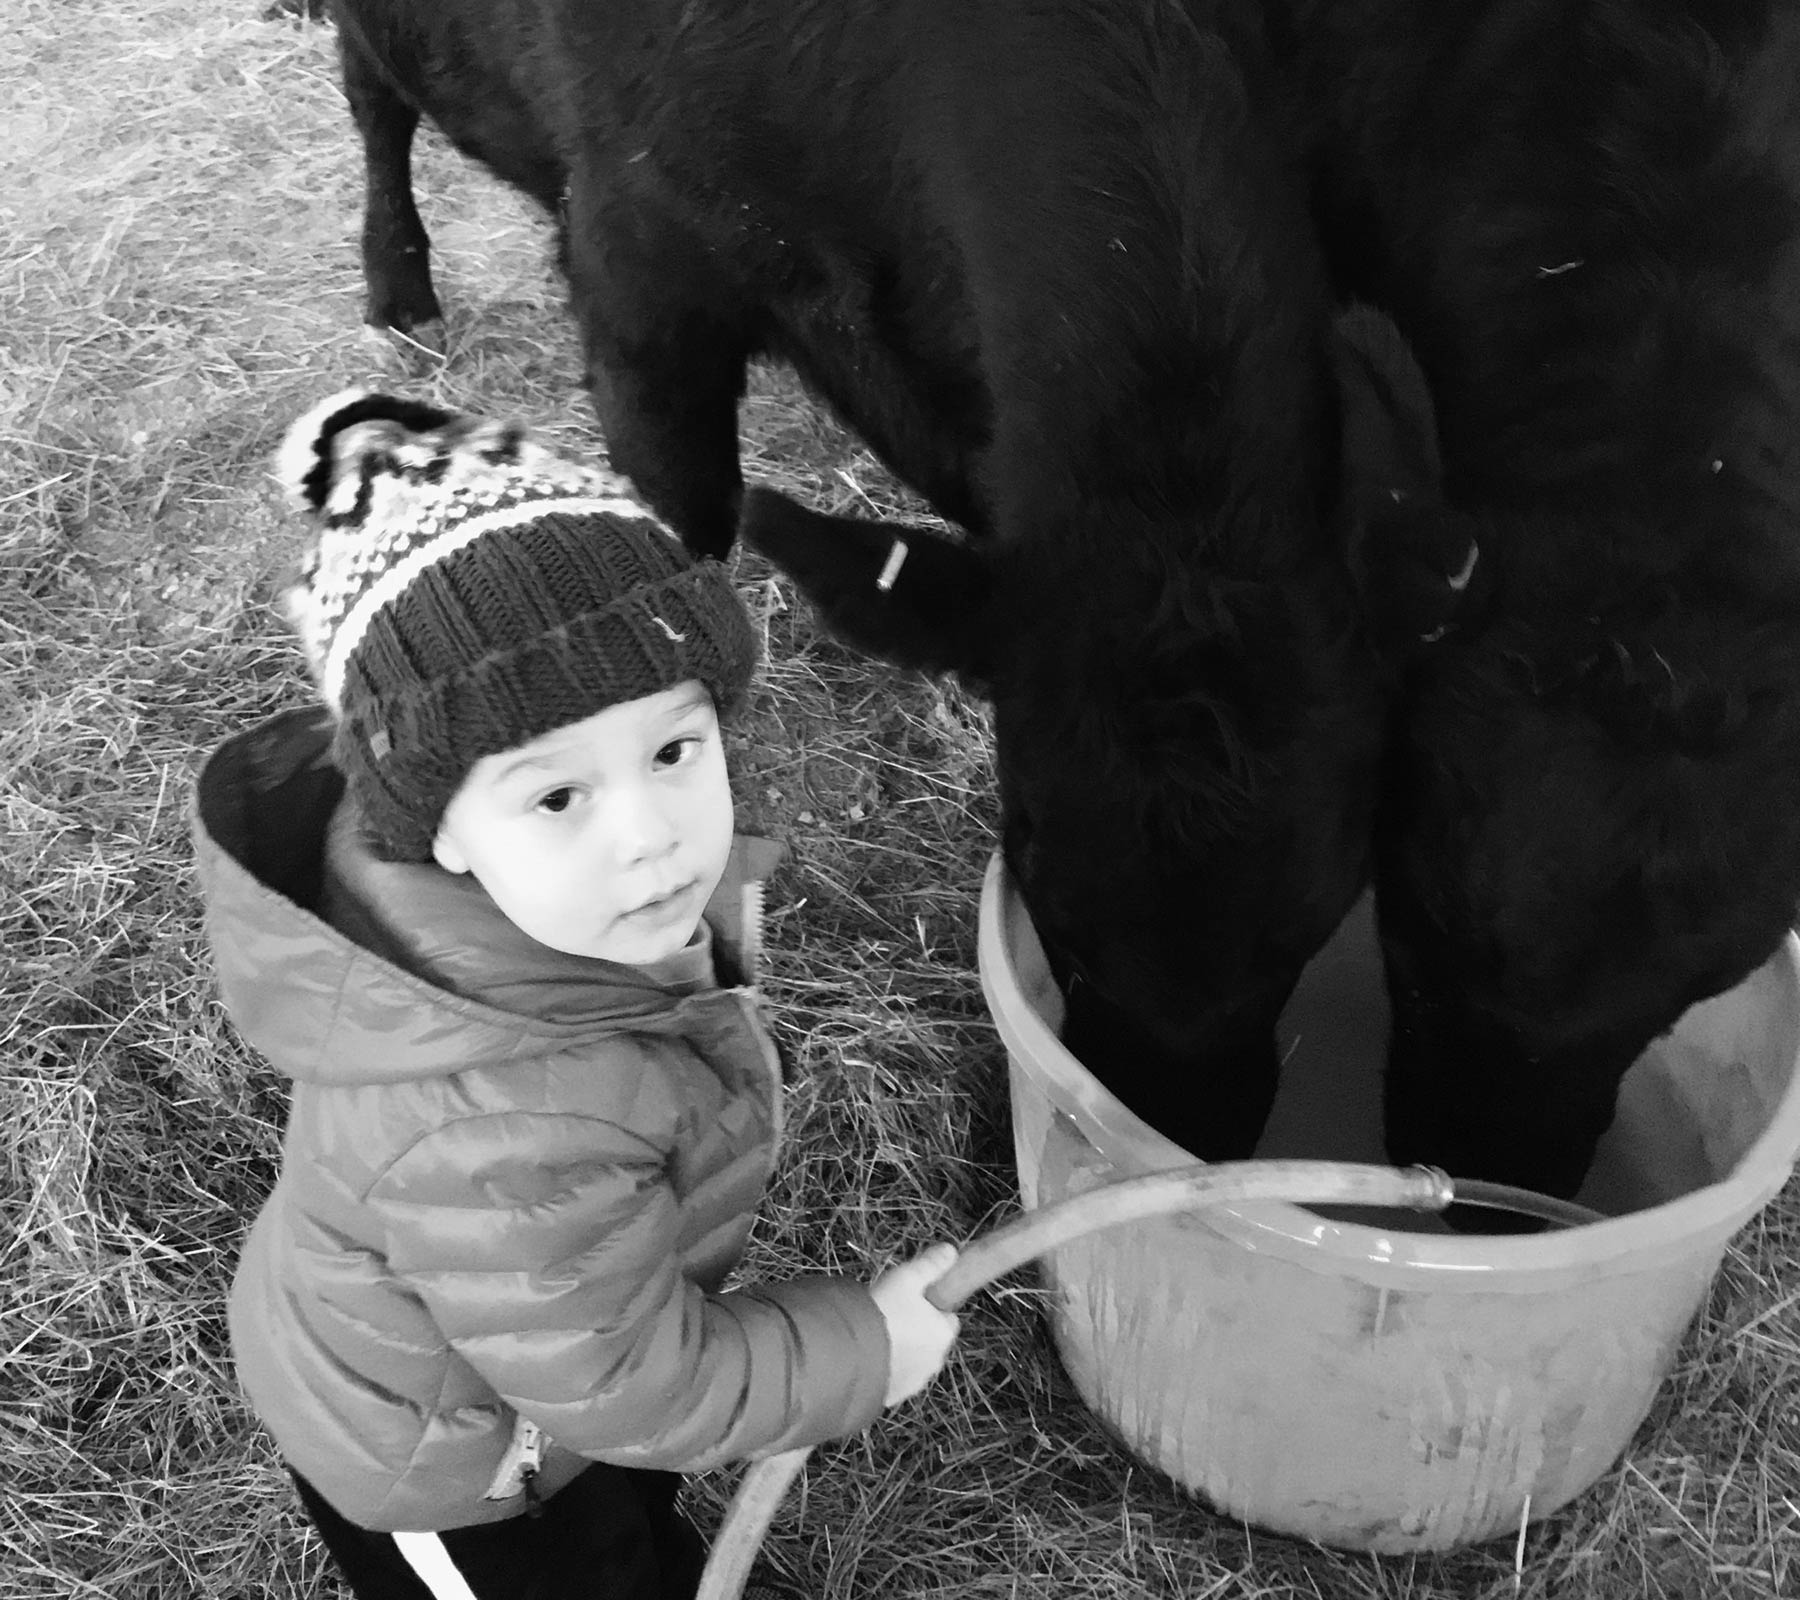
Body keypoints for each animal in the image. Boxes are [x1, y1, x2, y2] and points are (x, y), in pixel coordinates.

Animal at [327, 0, 1476, 1159]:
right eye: (1045, 885)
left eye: (1322, 912)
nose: (1180, 1129)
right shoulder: (640, 277)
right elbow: (679, 548)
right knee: (374, 101)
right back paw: (400, 287)